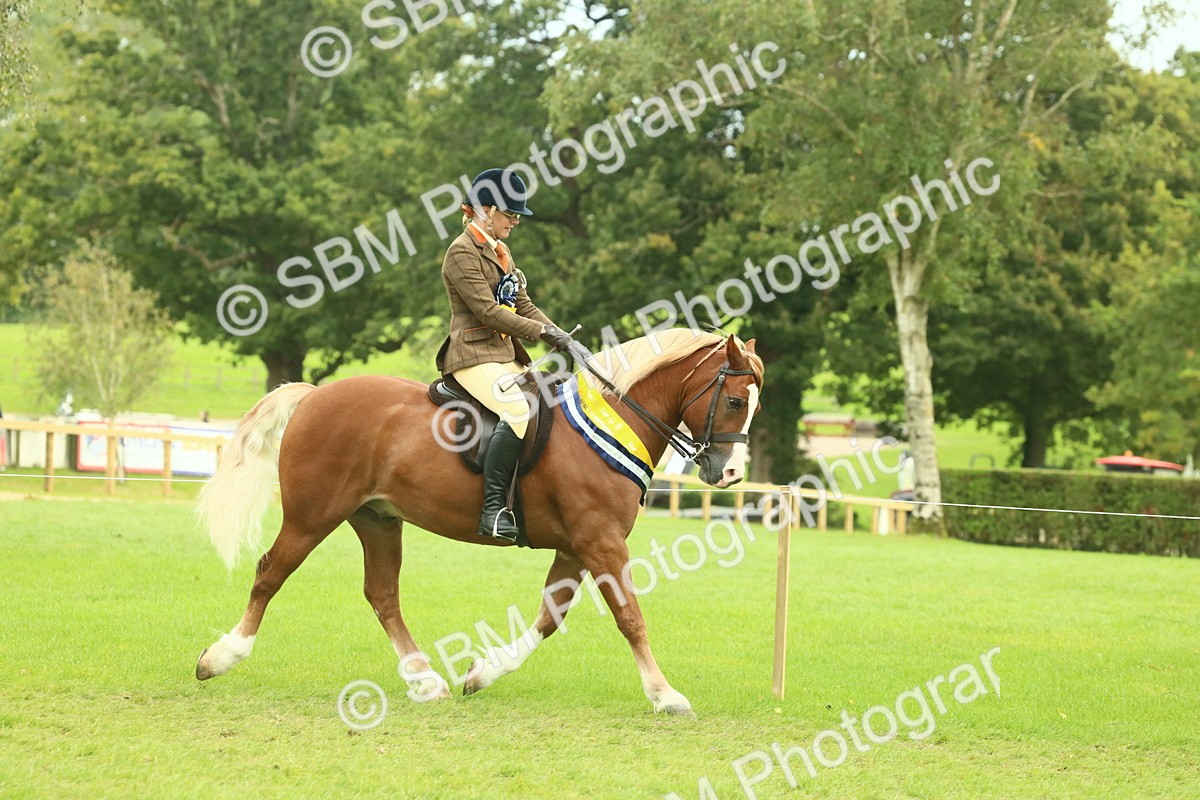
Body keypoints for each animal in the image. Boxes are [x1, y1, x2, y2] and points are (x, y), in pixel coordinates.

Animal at [194, 329, 764, 715]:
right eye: (736, 401)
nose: (731, 474)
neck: (614, 418)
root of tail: (315, 394)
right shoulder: (600, 542)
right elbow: (630, 617)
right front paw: (665, 695)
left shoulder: (575, 547)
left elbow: (549, 617)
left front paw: (482, 674)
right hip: (313, 515)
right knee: (271, 571)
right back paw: (221, 657)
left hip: (377, 520)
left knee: (382, 595)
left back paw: (426, 682)